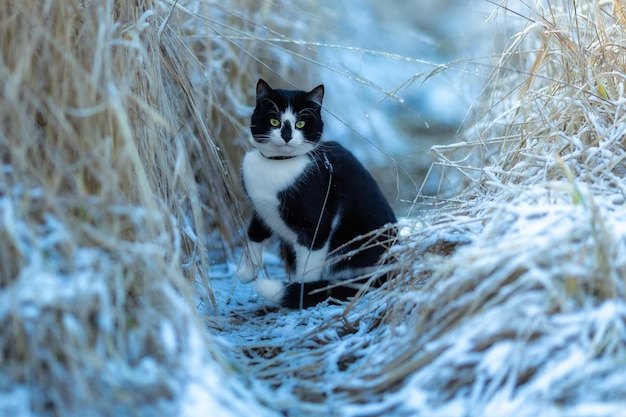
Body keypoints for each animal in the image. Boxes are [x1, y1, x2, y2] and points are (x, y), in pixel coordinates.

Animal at [235, 78, 394, 308]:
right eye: (274, 121)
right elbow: (254, 234)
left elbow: (308, 267)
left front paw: (302, 292)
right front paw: (247, 272)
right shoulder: (261, 208)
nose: (286, 136)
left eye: (300, 123)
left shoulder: (317, 226)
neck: (278, 164)